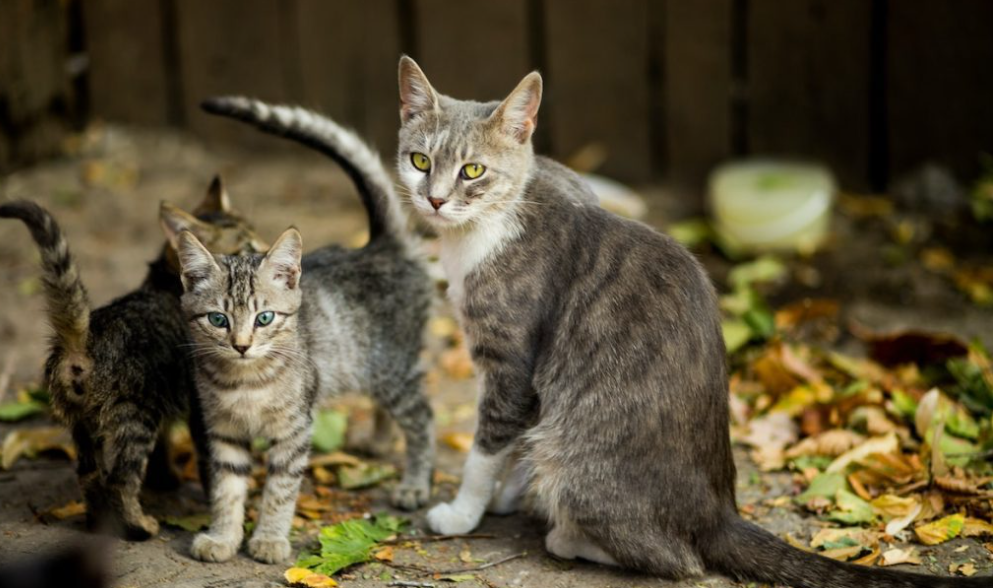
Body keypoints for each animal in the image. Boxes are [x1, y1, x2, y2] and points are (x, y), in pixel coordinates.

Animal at [0, 180, 266, 544]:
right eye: (248, 246)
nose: (268, 249)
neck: (165, 282)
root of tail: (83, 339)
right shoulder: (201, 407)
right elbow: (212, 464)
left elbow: (164, 448)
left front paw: (165, 479)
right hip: (135, 416)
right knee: (120, 480)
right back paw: (138, 527)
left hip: (83, 423)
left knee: (89, 474)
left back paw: (98, 523)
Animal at [173, 97, 434, 564]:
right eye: (218, 320)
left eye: (264, 318)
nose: (241, 346)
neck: (246, 381)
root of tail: (380, 245)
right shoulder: (223, 432)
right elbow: (226, 489)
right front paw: (222, 537)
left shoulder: (295, 429)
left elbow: (280, 489)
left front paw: (270, 539)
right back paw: (379, 442)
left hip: (393, 369)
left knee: (423, 418)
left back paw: (414, 483)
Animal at [396, 57, 984, 588]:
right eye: (420, 160)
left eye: (473, 170)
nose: (435, 199)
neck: (487, 226)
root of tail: (718, 513)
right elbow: (517, 439)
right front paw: (504, 493)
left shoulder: (511, 360)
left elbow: (488, 444)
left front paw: (463, 510)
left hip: (579, 464)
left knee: (678, 560)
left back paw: (568, 536)